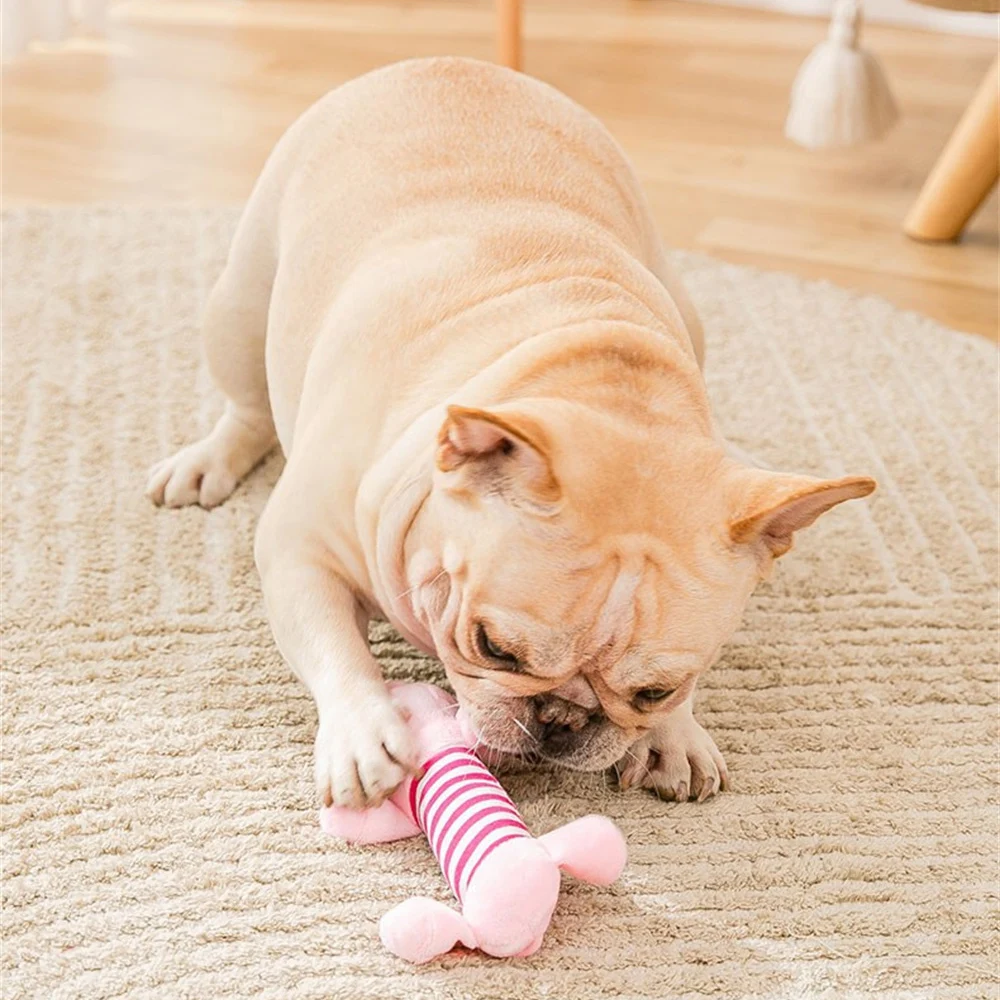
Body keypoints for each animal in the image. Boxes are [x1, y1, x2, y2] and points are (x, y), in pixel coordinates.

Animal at [147, 57, 875, 809]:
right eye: (493, 646)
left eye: (653, 691)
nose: (561, 719)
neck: (597, 380)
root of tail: (447, 64)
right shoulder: (300, 551)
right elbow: (332, 644)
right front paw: (362, 733)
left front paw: (677, 735)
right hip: (241, 302)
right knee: (247, 402)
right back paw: (208, 461)